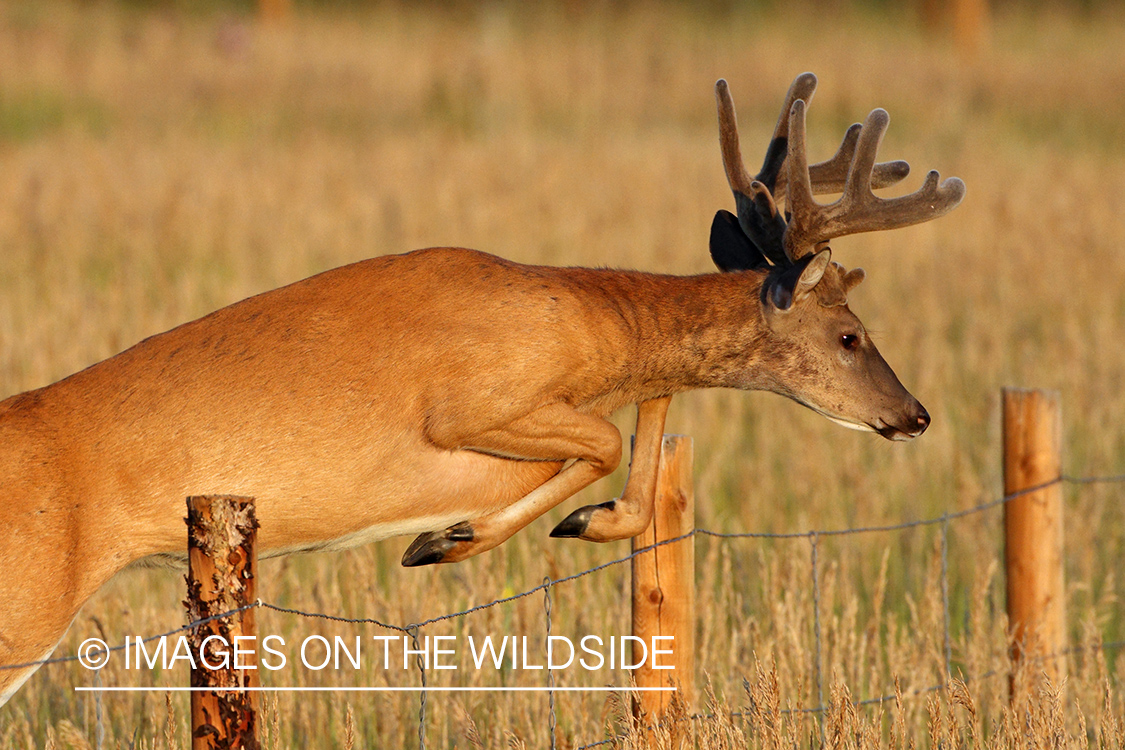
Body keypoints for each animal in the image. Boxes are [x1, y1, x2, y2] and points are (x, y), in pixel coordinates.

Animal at [0, 71, 963, 706]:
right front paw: (456, 540)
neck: (593, 321)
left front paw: (556, 525)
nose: (914, 415)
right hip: (25, 604)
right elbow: (604, 440)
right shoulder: (470, 404)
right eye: (850, 335)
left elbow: (643, 427)